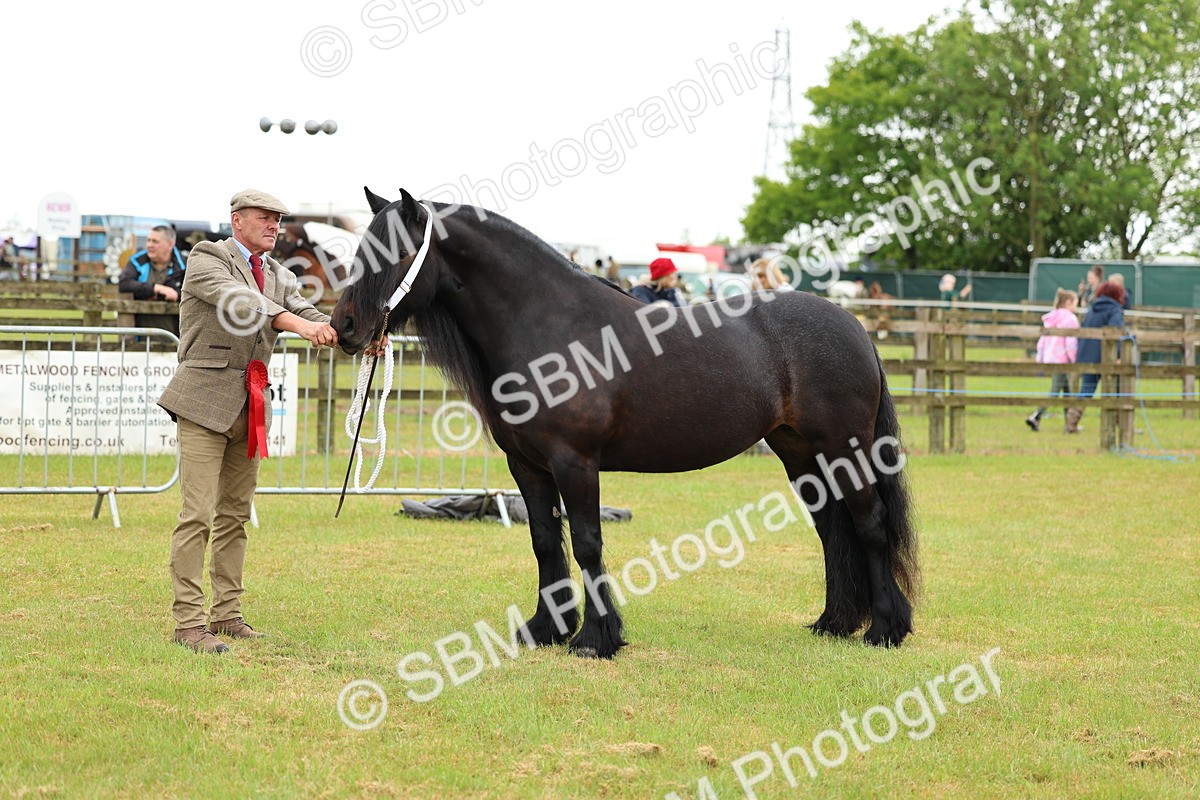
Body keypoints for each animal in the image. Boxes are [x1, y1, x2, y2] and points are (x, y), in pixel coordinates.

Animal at [331, 188, 919, 659]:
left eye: (398, 252)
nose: (345, 326)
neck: (548, 324)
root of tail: (855, 328)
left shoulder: (575, 462)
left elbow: (587, 542)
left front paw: (596, 639)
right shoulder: (527, 465)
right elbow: (545, 541)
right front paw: (544, 630)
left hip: (844, 447)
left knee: (868, 525)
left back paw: (884, 630)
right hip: (801, 453)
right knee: (832, 528)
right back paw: (834, 623)